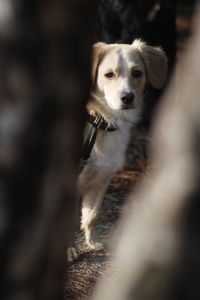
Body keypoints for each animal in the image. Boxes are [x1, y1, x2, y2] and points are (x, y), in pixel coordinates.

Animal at [78, 39, 167, 251]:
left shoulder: (101, 178)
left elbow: (92, 215)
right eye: (109, 74)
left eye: (137, 73)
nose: (127, 97)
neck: (99, 123)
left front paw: (91, 242)